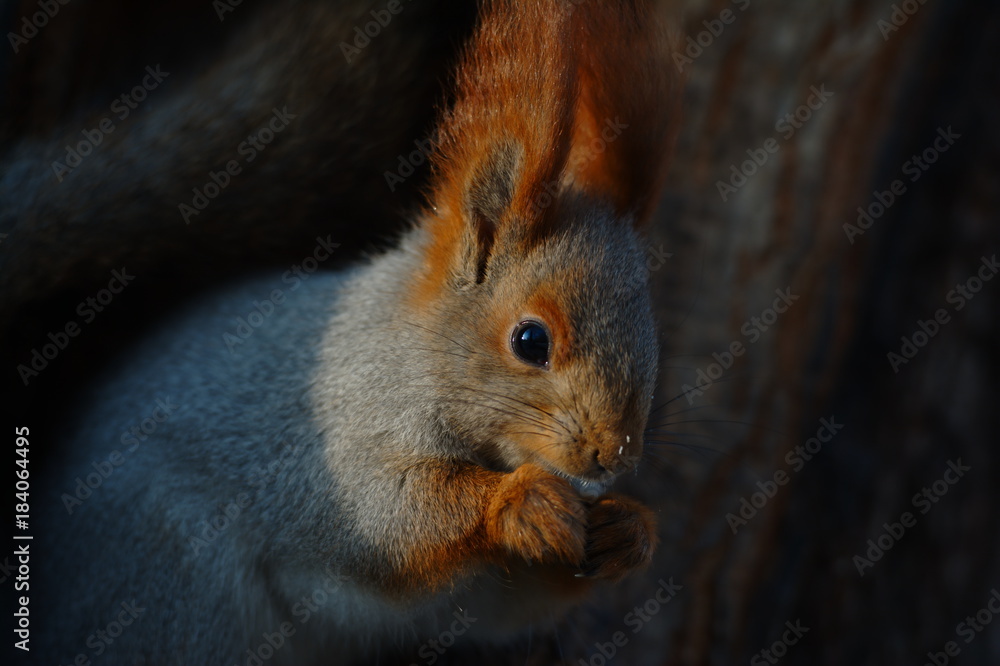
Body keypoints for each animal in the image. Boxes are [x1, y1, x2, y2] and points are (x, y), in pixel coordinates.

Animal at [32, 0, 679, 663]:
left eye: (652, 339)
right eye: (530, 341)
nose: (613, 456)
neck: (411, 353)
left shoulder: (481, 591)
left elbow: (507, 607)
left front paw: (631, 529)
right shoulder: (334, 437)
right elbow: (386, 513)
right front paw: (518, 501)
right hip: (176, 587)